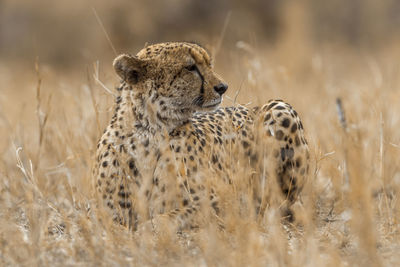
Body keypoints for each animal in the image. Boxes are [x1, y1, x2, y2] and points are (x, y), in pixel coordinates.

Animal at [93, 41, 310, 230]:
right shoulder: (104, 212)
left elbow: (170, 217)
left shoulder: (224, 201)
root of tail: (251, 107)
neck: (149, 132)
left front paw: (148, 227)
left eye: (208, 64)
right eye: (190, 67)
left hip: (279, 108)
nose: (223, 87)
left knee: (285, 201)